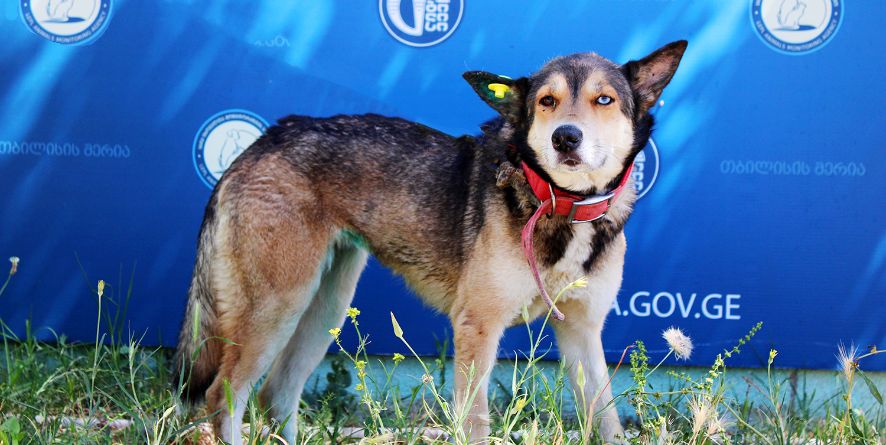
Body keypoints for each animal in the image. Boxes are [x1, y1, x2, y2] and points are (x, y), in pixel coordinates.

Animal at [172, 40, 688, 442]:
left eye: (604, 100)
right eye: (547, 101)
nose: (565, 137)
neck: (561, 203)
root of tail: (263, 141)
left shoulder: (583, 335)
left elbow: (608, 423)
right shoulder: (477, 329)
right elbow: (476, 423)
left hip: (325, 309)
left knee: (275, 394)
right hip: (277, 307)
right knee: (224, 395)